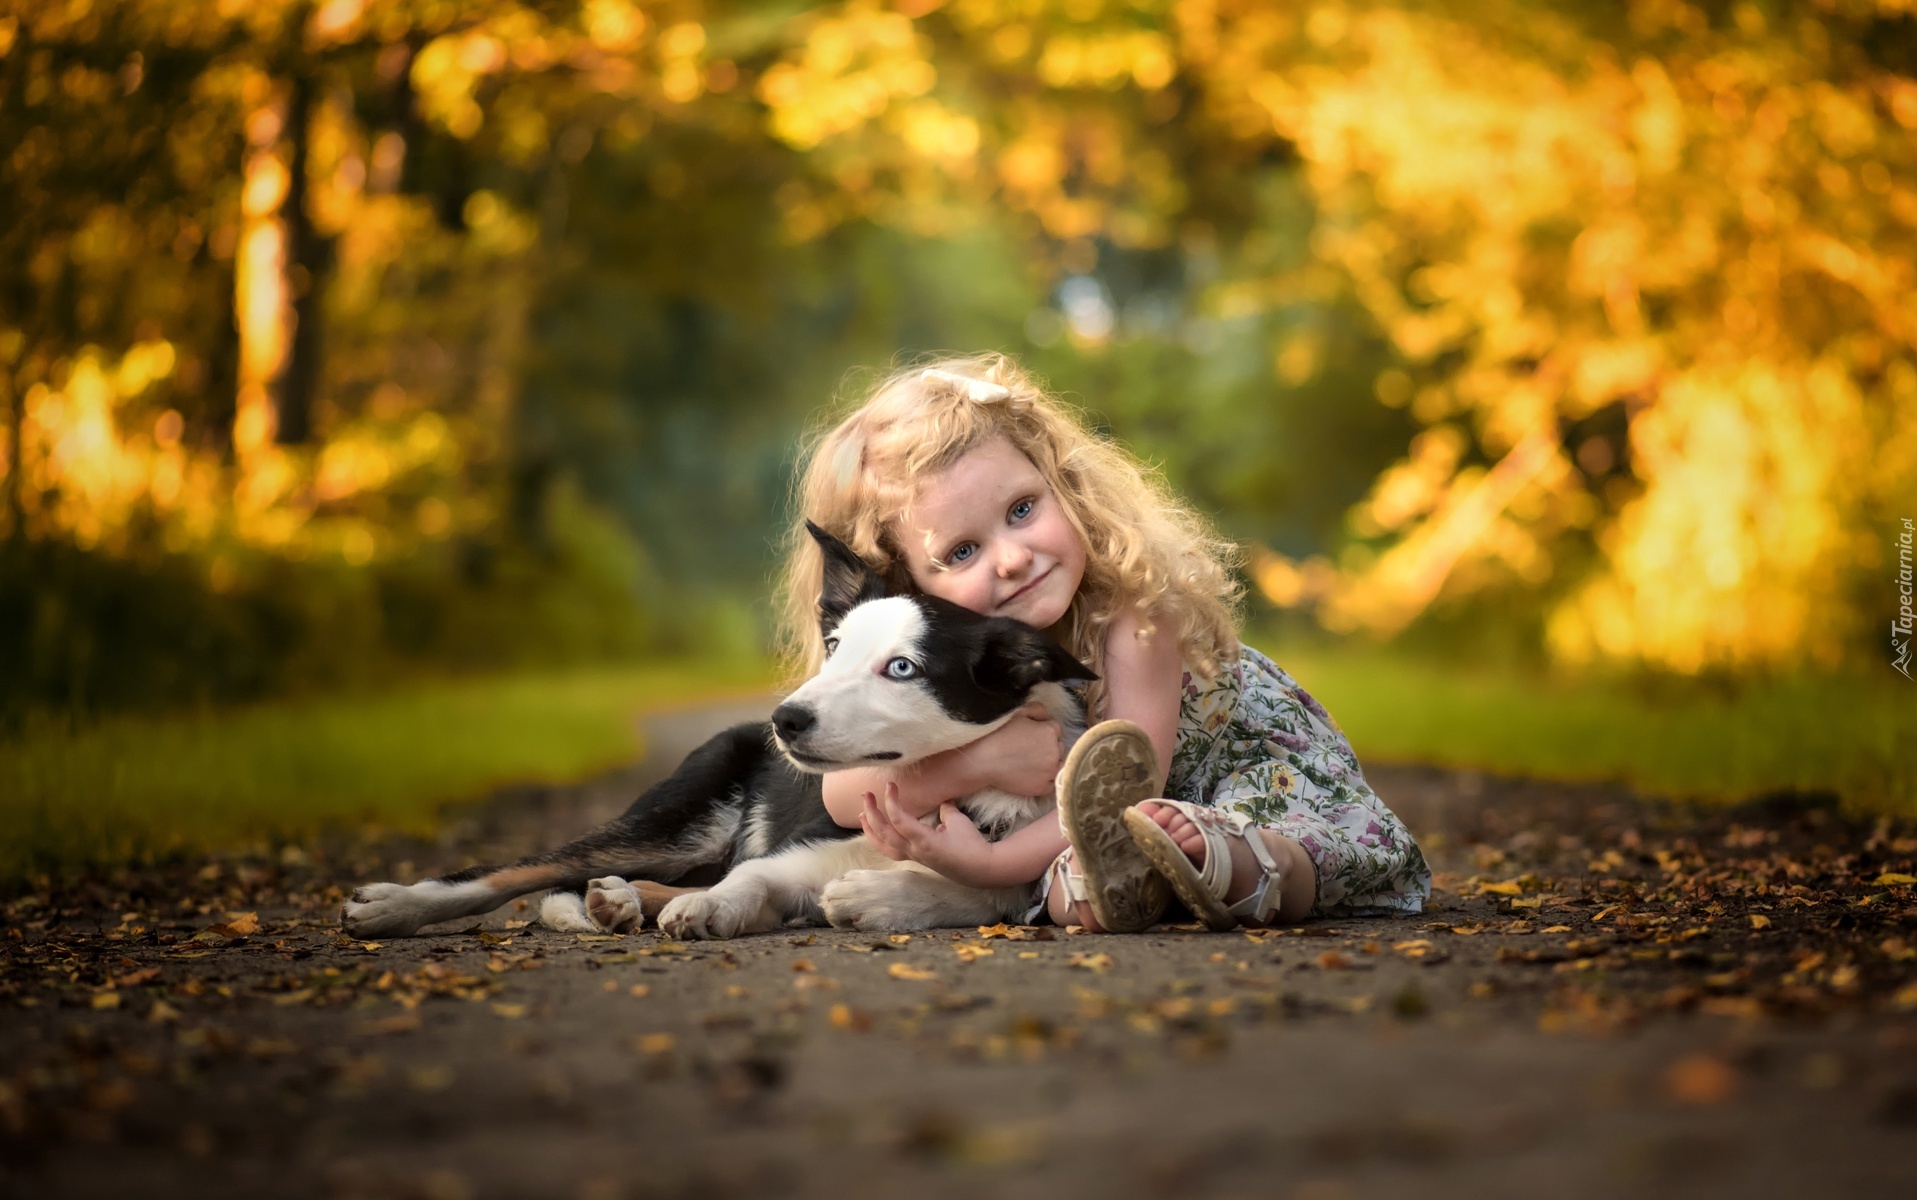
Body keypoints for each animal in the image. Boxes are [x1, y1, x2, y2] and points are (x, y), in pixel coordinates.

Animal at [341, 517, 1096, 939]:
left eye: (902, 667)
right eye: (832, 647)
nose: (785, 721)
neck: (939, 797)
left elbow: (983, 888)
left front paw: (882, 896)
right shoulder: (792, 852)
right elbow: (751, 880)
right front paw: (717, 911)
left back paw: (622, 902)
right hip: (677, 816)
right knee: (516, 871)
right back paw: (390, 906)